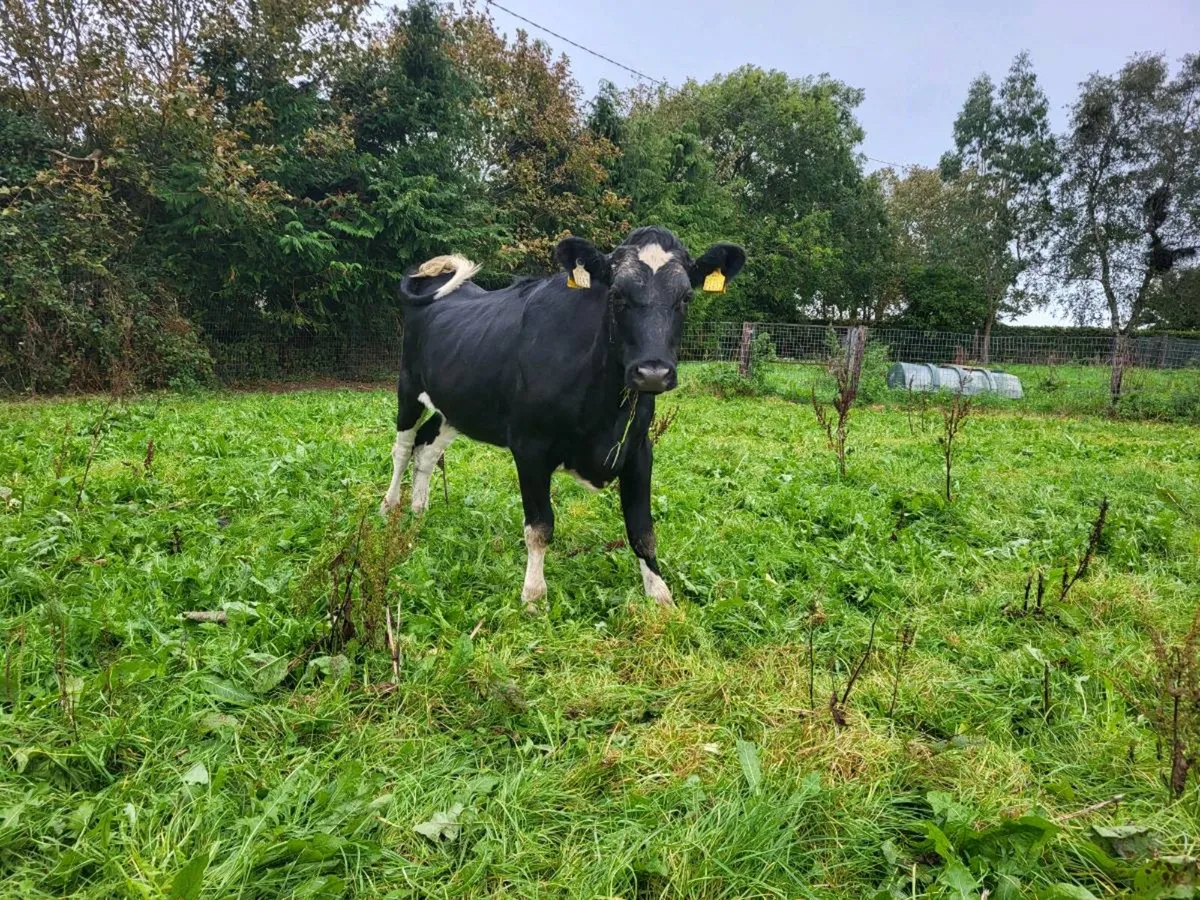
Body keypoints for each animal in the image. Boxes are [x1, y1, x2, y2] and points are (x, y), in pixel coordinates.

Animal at [380, 226, 745, 612]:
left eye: (686, 297)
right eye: (616, 294)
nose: (652, 373)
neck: (605, 412)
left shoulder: (638, 447)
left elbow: (643, 530)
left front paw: (661, 597)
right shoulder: (530, 446)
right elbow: (540, 527)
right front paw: (533, 596)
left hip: (455, 407)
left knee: (427, 451)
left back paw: (419, 510)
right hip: (408, 388)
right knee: (402, 449)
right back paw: (389, 507)